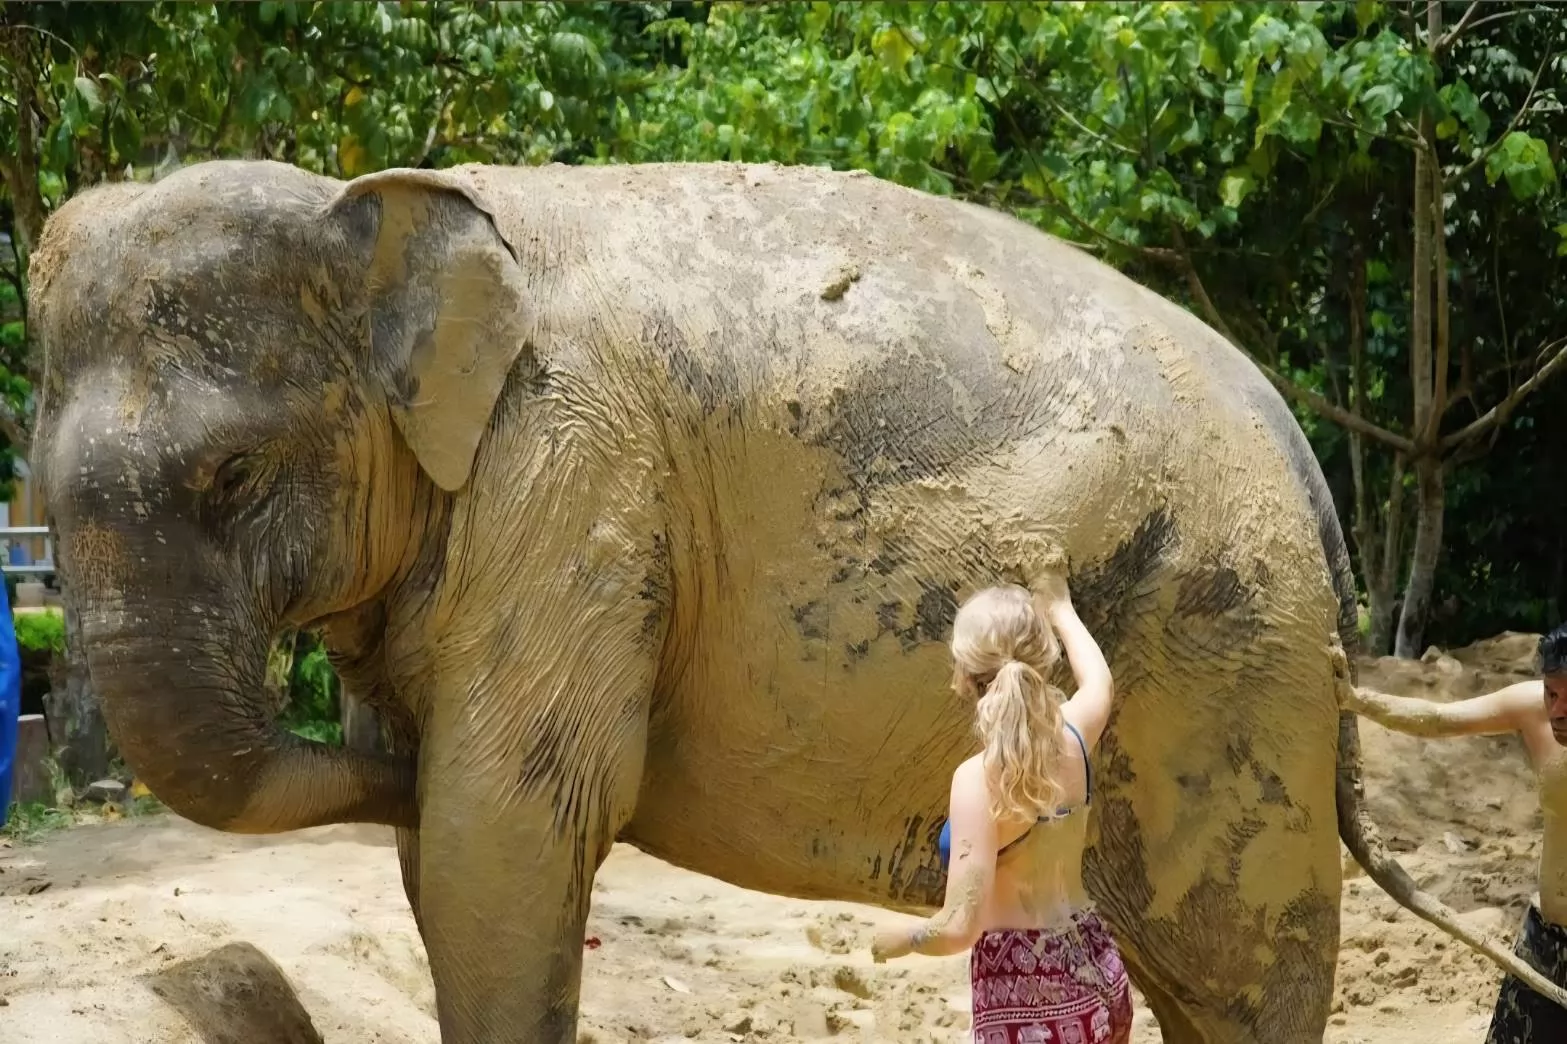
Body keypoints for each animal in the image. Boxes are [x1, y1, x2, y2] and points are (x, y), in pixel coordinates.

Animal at [25, 157, 1549, 1043]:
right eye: (32, 487)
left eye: (233, 475)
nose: (377, 746)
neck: (387, 200)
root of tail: (1300, 455)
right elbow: (453, 850)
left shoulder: (571, 476)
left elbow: (504, 827)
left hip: (1230, 656)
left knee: (1239, 967)